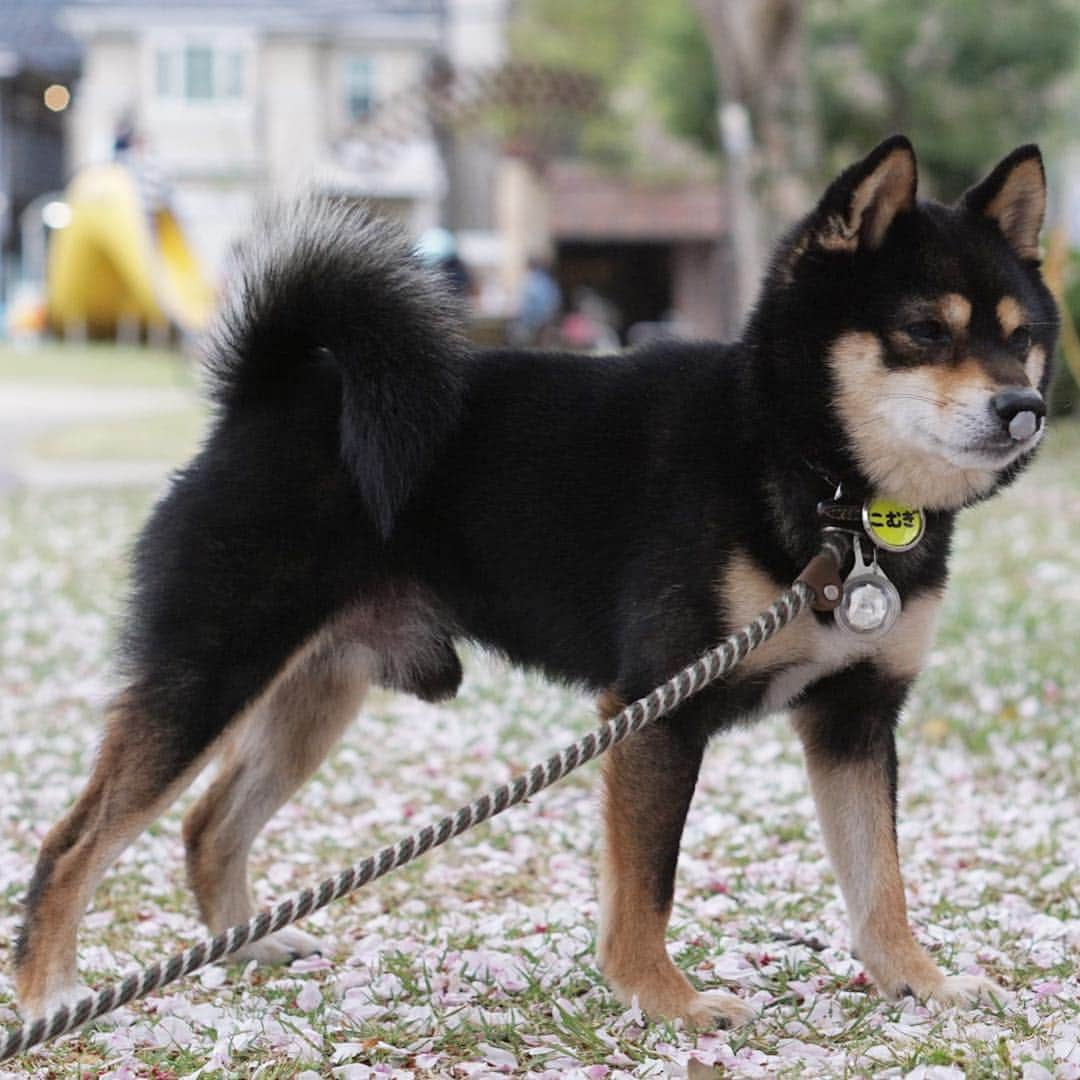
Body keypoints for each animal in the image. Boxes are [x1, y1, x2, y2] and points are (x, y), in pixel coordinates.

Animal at [19, 139, 1054, 1023]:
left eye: (1021, 337)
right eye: (923, 330)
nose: (1028, 407)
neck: (814, 478)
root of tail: (264, 398)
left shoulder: (856, 718)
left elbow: (881, 882)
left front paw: (918, 983)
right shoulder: (657, 708)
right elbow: (648, 888)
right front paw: (666, 1002)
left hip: (314, 692)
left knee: (207, 827)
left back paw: (248, 949)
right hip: (212, 669)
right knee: (74, 841)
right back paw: (48, 996)